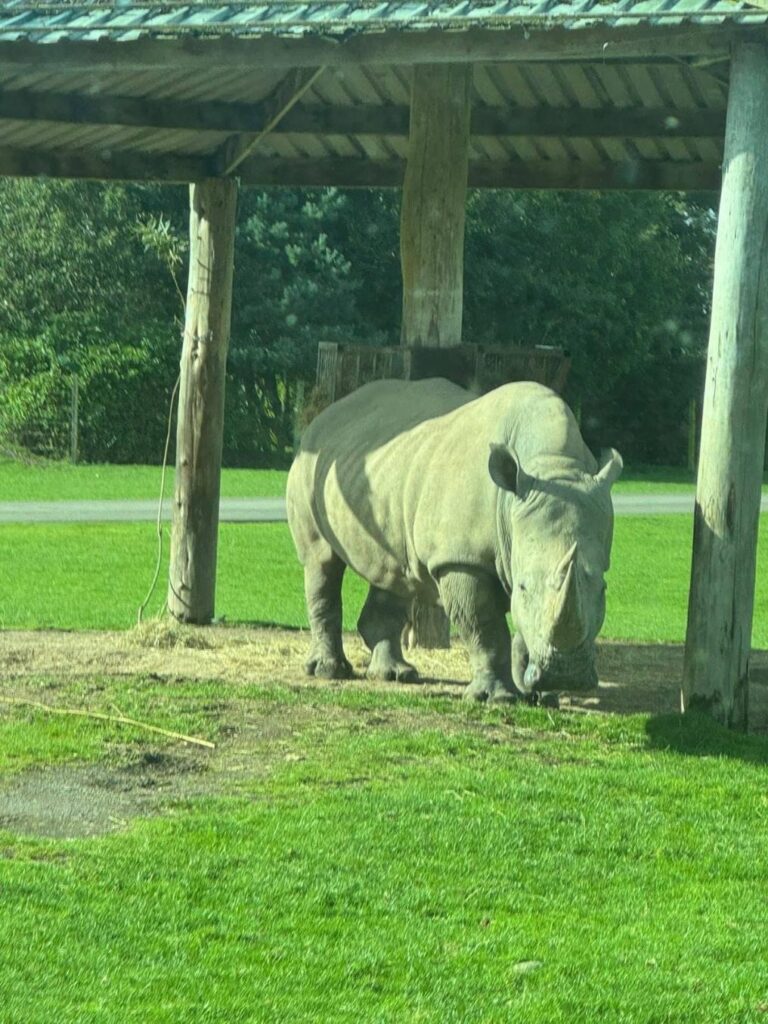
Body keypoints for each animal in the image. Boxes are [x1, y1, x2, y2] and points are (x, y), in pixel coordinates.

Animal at [286, 378, 622, 702]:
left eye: (603, 588)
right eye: (523, 586)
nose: (568, 676)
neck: (552, 466)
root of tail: (322, 417)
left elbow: (527, 628)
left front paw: (538, 695)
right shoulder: (460, 559)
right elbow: (484, 628)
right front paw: (495, 698)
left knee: (394, 572)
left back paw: (396, 674)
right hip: (310, 468)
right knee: (321, 562)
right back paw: (329, 671)